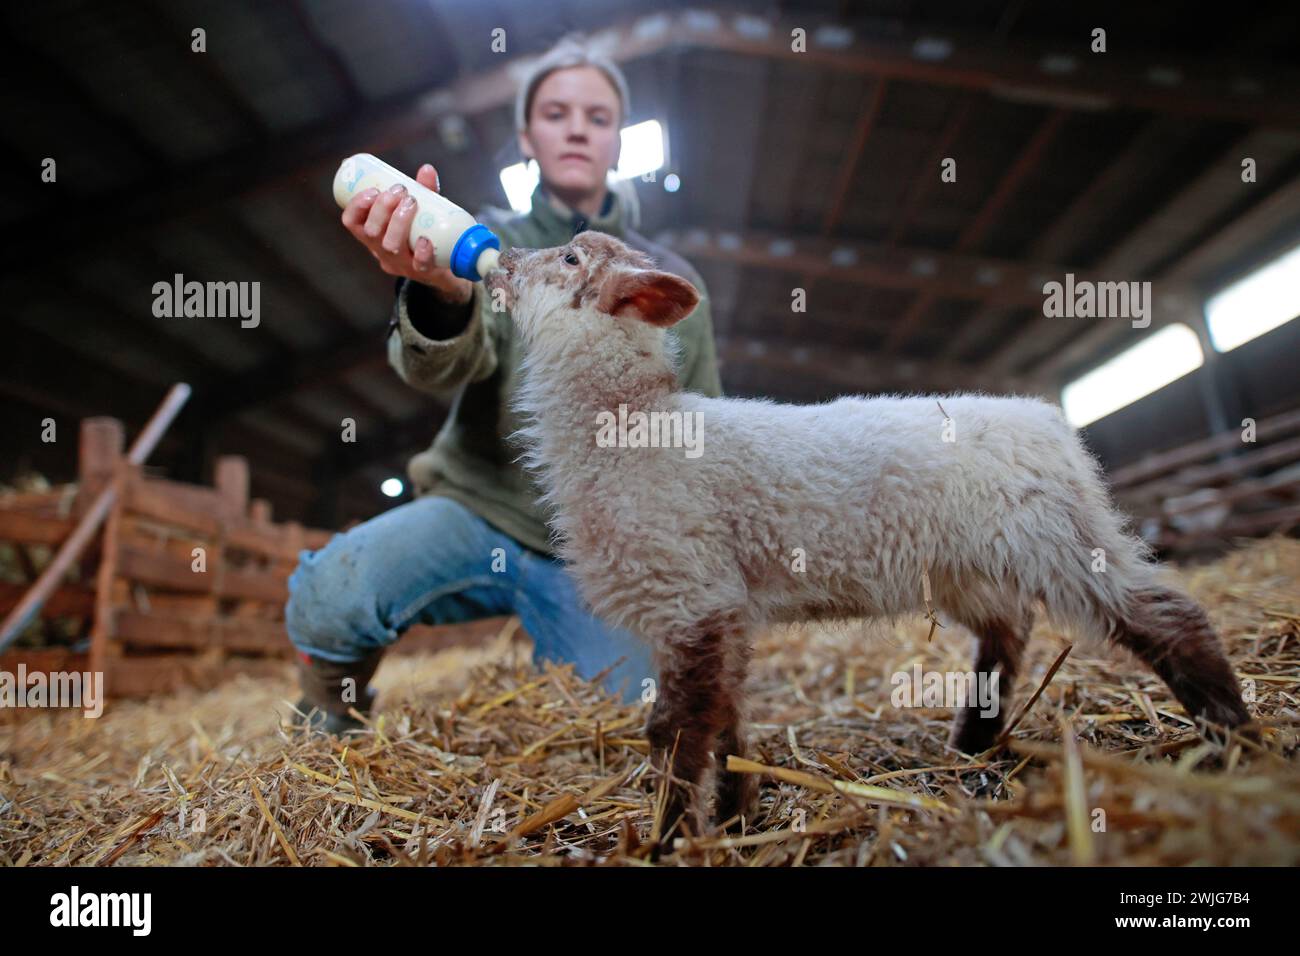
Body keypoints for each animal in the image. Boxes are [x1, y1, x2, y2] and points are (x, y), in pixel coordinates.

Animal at [483, 231, 1253, 842]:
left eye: (570, 257)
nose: (501, 259)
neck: (632, 423)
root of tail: (1050, 421)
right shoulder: (719, 606)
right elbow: (724, 716)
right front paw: (737, 815)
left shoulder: (689, 592)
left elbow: (673, 733)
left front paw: (670, 838)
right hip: (970, 564)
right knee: (1009, 631)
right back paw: (971, 743)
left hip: (1054, 538)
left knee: (1164, 615)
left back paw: (1236, 738)